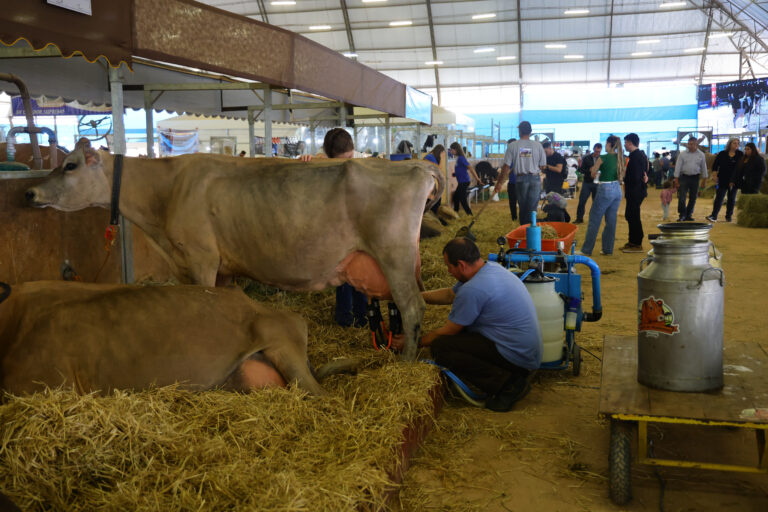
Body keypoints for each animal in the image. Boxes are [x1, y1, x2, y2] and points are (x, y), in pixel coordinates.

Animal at [25, 140, 444, 360]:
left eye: (69, 165)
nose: (28, 192)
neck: (166, 192)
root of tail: (416, 165)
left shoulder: (201, 257)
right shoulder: (215, 267)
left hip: (393, 254)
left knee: (412, 306)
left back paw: (406, 361)